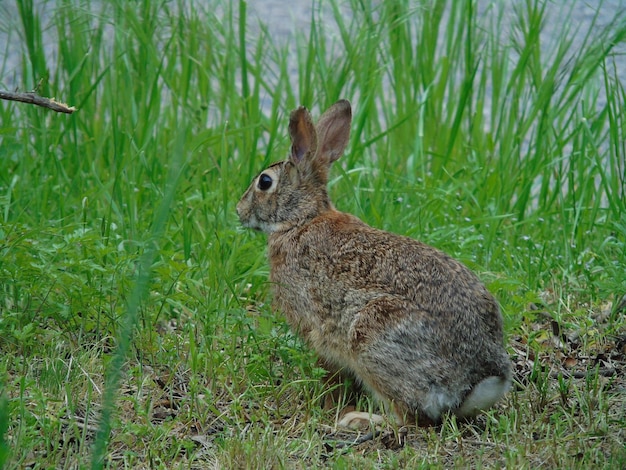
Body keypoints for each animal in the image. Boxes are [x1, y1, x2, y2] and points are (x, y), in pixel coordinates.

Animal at [236, 99, 510, 426]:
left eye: (264, 182)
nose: (238, 210)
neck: (301, 219)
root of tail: (479, 380)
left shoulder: (316, 328)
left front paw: (329, 404)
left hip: (371, 337)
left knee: (406, 417)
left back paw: (358, 419)